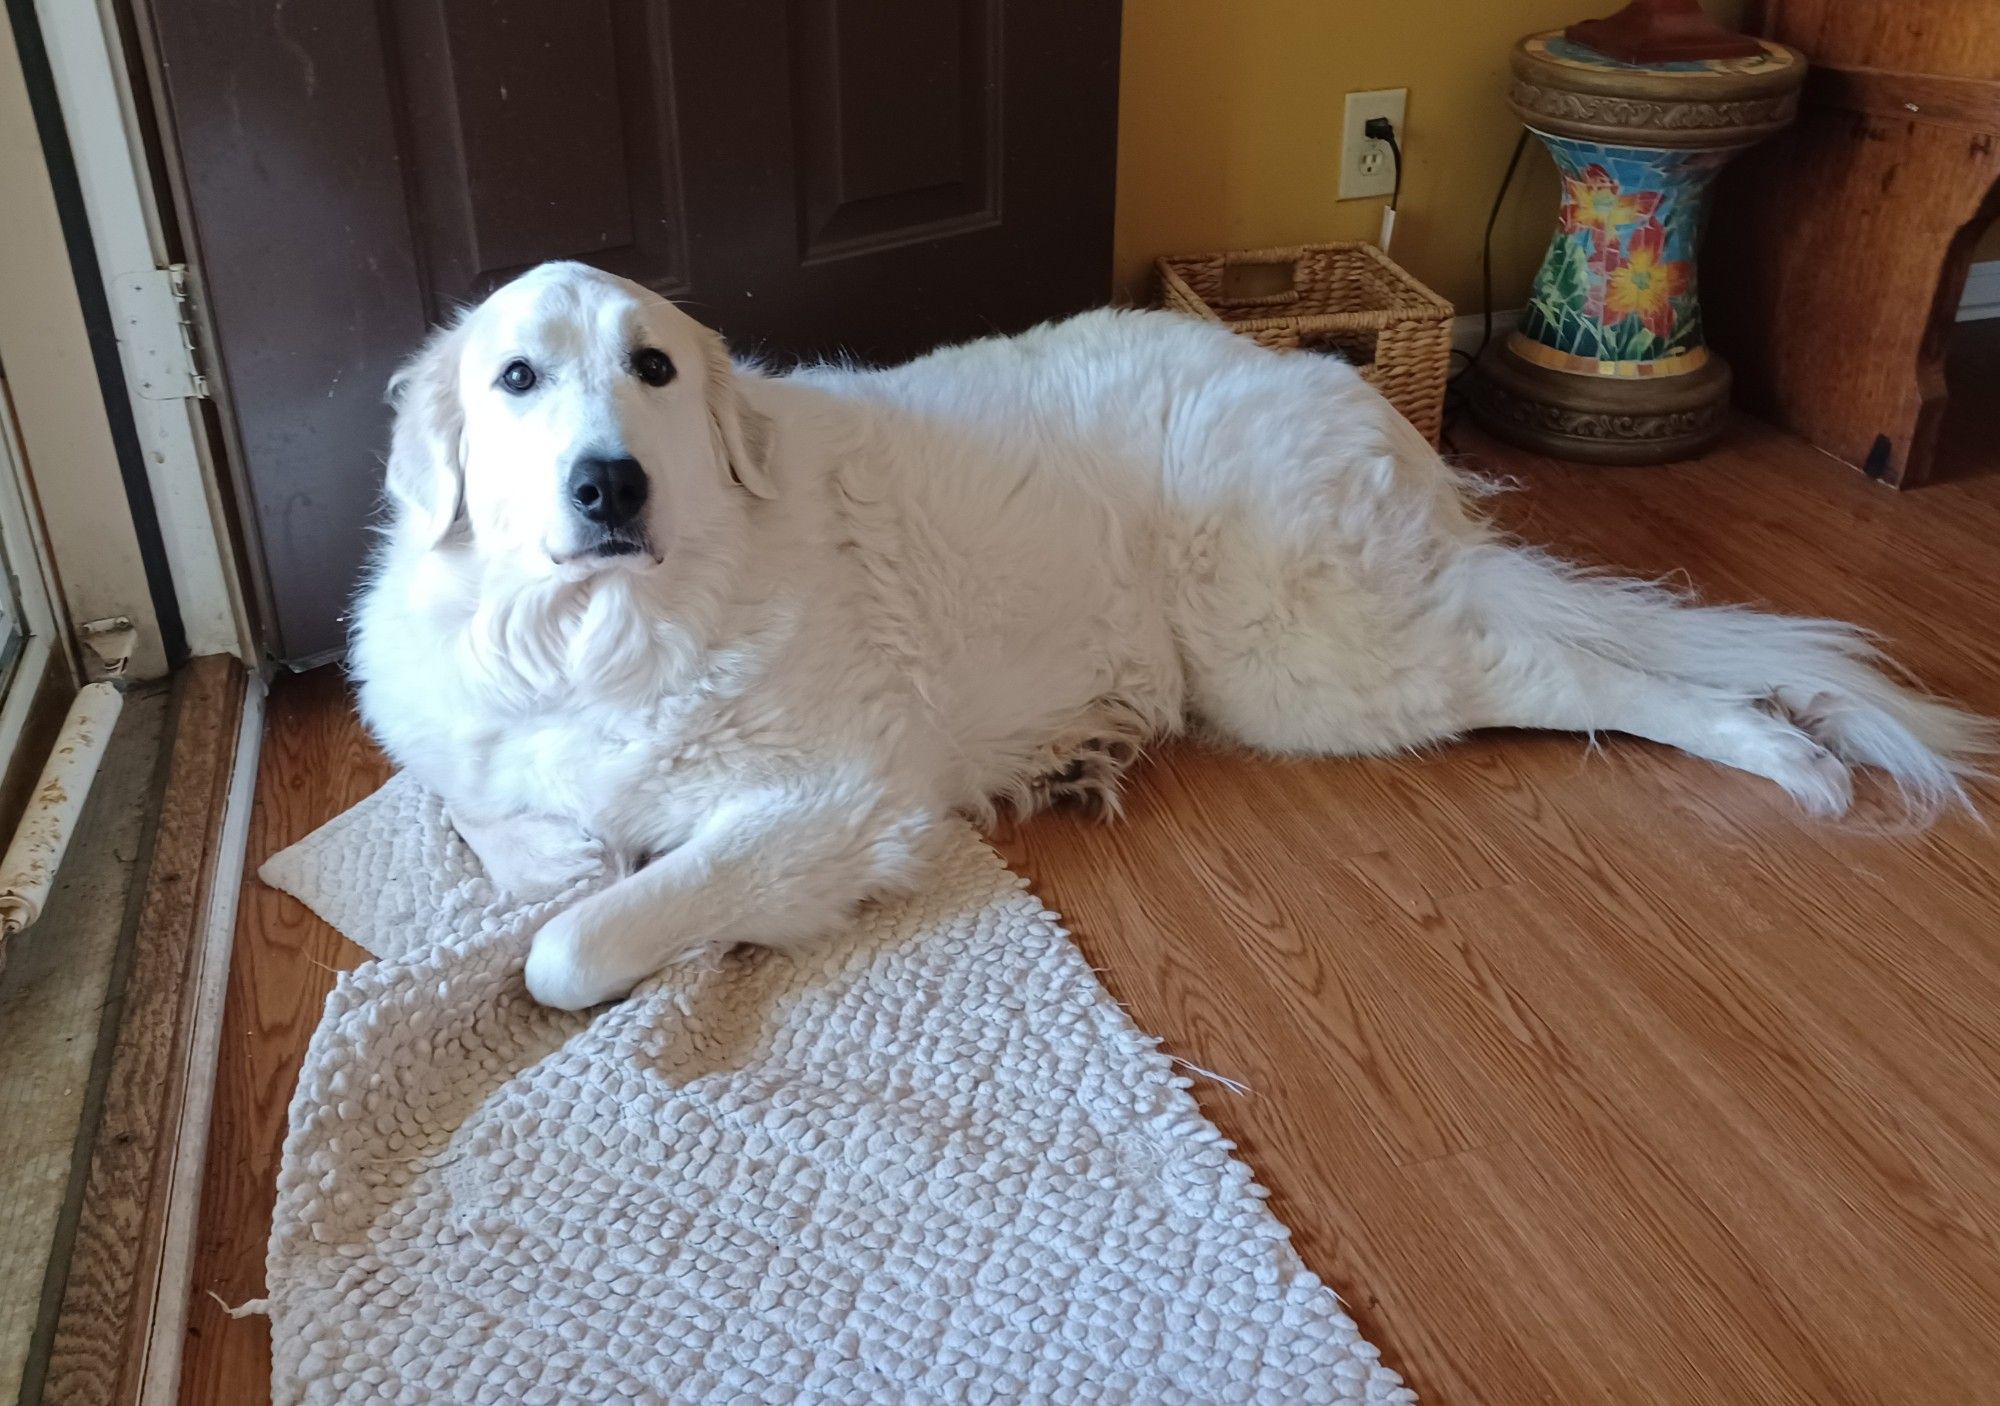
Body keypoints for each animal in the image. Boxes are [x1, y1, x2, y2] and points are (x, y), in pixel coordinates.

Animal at [352, 262, 1992, 1012]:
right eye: (515, 379)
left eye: (653, 370)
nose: (607, 483)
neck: (595, 635)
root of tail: (1345, 388)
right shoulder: (476, 743)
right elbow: (500, 826)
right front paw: (556, 838)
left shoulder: (836, 802)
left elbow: (568, 944)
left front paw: (601, 895)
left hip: (1321, 663)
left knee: (1591, 677)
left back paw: (1783, 753)